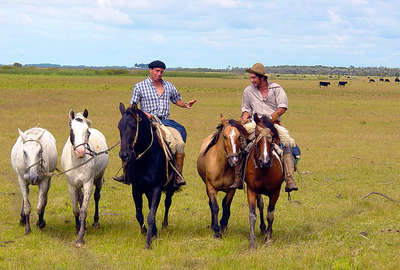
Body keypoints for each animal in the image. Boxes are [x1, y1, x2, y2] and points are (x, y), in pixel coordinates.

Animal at [61, 108, 108, 248]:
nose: (81, 152)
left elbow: (83, 211)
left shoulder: (88, 183)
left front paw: (80, 238)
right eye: (72, 131)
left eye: (87, 132)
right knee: (80, 199)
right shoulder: (71, 185)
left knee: (97, 197)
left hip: (99, 178)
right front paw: (78, 229)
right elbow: (76, 209)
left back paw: (95, 222)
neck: (77, 162)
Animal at [244, 114, 284, 249]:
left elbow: (270, 214)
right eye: (256, 134)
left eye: (272, 137)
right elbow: (252, 214)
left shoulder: (275, 192)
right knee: (260, 205)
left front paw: (268, 239)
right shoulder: (251, 189)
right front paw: (252, 242)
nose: (264, 161)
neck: (264, 170)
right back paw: (262, 228)